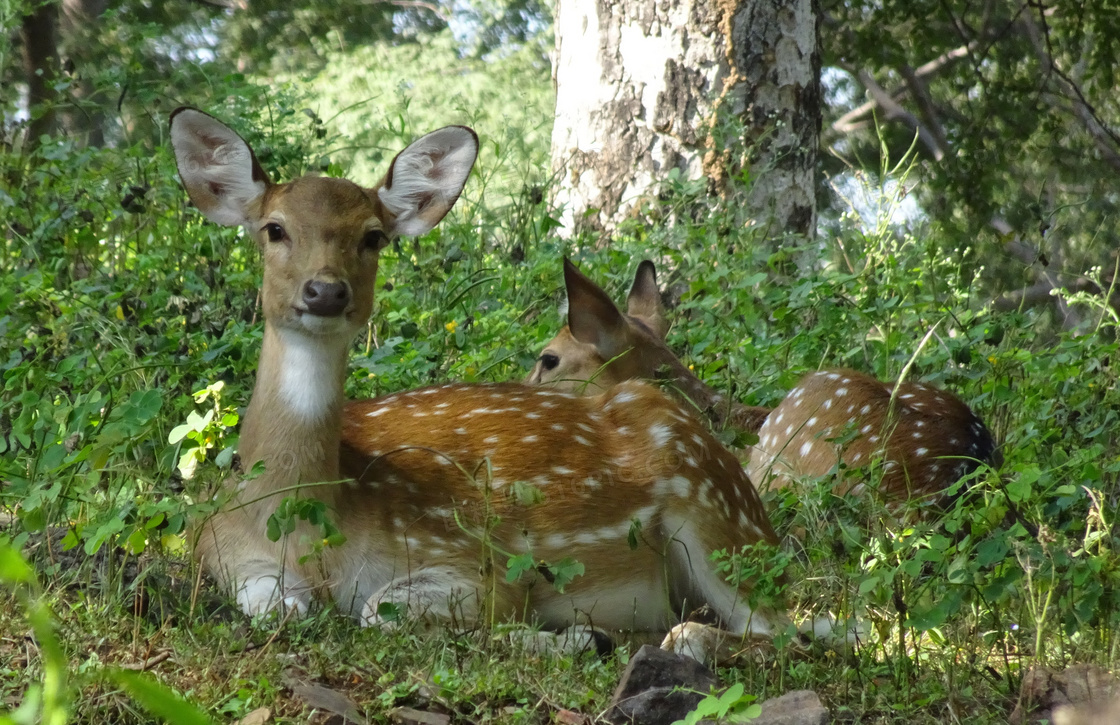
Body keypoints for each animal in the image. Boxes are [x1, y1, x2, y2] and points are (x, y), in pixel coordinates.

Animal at [172, 109, 788, 663]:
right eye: (273, 229)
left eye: (373, 237)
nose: (325, 291)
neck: (304, 528)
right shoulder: (216, 549)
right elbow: (276, 606)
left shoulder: (473, 559)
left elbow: (378, 610)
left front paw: (570, 637)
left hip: (716, 516)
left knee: (791, 629)